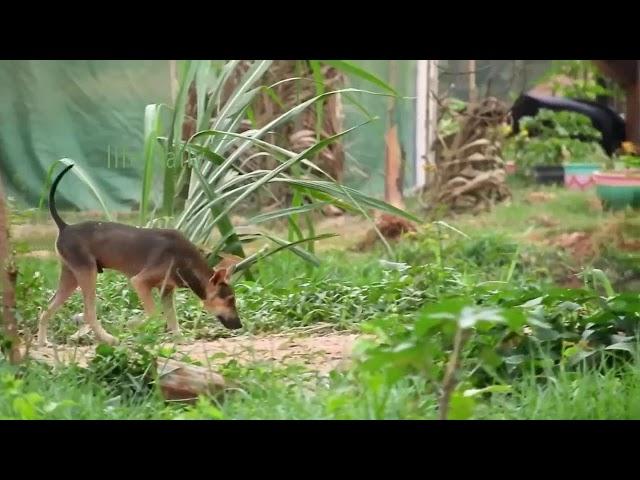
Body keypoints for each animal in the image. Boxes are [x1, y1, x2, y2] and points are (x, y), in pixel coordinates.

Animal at [38, 163, 242, 346]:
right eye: (230, 300)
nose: (240, 325)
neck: (185, 260)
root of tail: (65, 227)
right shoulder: (140, 282)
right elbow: (154, 314)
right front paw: (133, 324)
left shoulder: (167, 291)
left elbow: (173, 320)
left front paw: (179, 340)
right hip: (87, 272)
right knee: (89, 313)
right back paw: (108, 339)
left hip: (71, 275)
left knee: (46, 309)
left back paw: (42, 341)